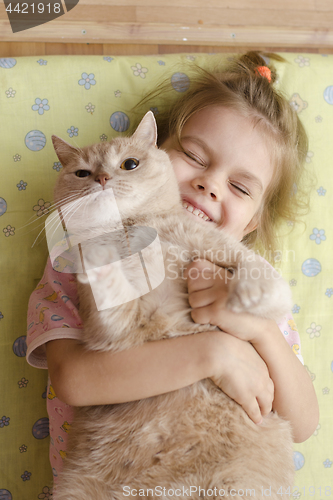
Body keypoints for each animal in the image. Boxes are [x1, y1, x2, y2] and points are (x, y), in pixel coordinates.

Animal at [51, 111, 294, 498]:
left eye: (129, 164)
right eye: (82, 173)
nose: (102, 179)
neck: (132, 228)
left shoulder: (219, 248)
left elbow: (262, 274)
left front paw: (247, 294)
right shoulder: (117, 331)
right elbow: (109, 295)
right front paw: (96, 254)